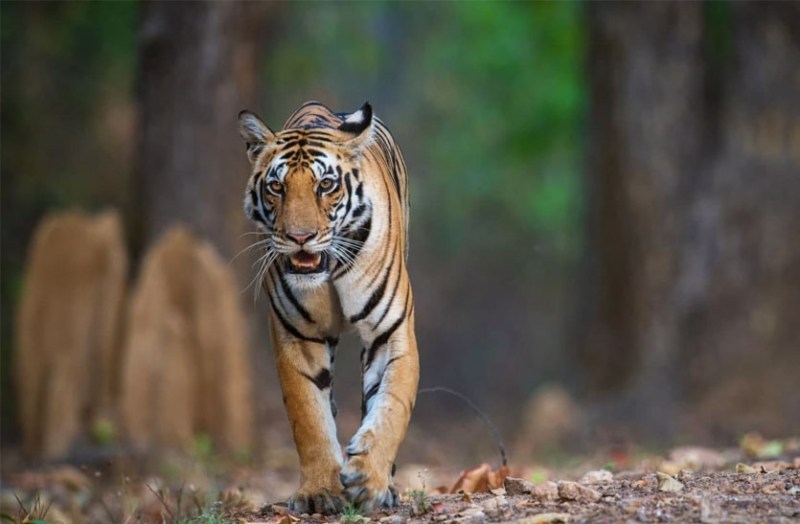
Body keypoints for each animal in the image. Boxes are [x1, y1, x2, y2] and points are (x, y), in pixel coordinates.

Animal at [237, 101, 419, 514]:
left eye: (326, 185)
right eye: (277, 187)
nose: (299, 237)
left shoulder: (391, 332)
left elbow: (390, 406)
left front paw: (369, 480)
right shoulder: (298, 337)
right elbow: (309, 416)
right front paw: (320, 491)